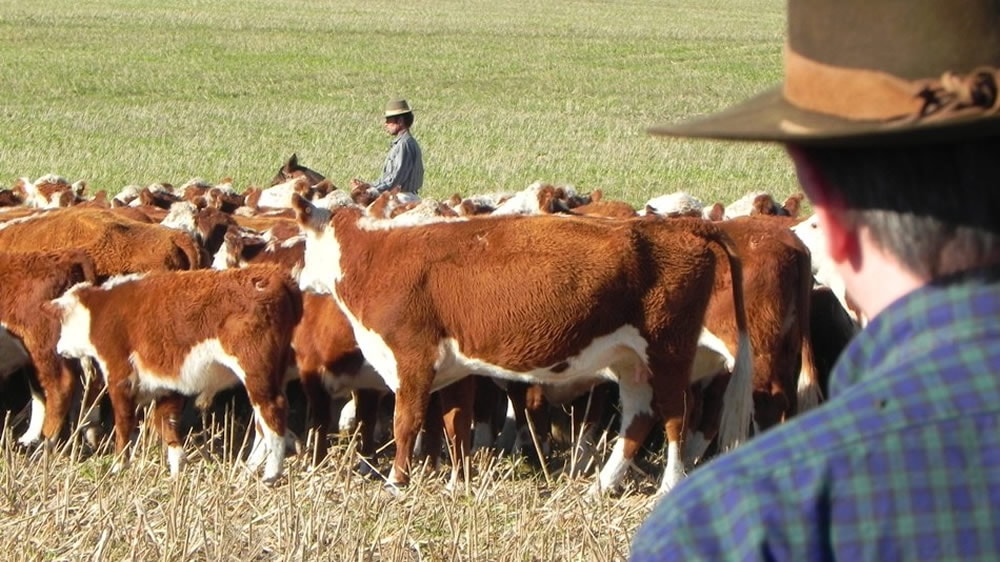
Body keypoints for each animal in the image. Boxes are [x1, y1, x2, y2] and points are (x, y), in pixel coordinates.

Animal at [50, 264, 300, 480]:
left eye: (63, 323)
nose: (59, 348)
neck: (101, 311)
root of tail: (274, 275)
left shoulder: (120, 375)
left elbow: (123, 423)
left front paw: (119, 466)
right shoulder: (167, 384)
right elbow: (163, 421)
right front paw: (178, 468)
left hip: (256, 370)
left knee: (272, 410)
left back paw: (271, 474)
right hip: (271, 374)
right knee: (261, 421)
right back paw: (248, 470)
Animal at [292, 195, 752, 492]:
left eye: (303, 242)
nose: (298, 279)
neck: (378, 256)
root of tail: (685, 227)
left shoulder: (412, 359)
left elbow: (407, 423)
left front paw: (396, 484)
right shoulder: (454, 368)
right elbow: (455, 424)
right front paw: (459, 485)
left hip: (667, 353)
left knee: (675, 416)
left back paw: (668, 485)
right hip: (632, 362)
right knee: (638, 420)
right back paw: (598, 487)